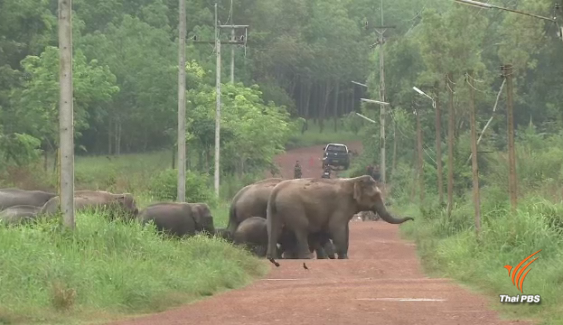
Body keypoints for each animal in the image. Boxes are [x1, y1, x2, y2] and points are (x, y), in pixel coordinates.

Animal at [264, 175, 414, 264]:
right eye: (375, 195)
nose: (413, 218)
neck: (353, 180)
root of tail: (276, 191)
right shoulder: (341, 204)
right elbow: (337, 226)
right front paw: (340, 256)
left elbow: (345, 229)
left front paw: (344, 257)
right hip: (294, 207)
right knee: (301, 228)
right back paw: (307, 257)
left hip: (274, 208)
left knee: (274, 228)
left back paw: (272, 258)